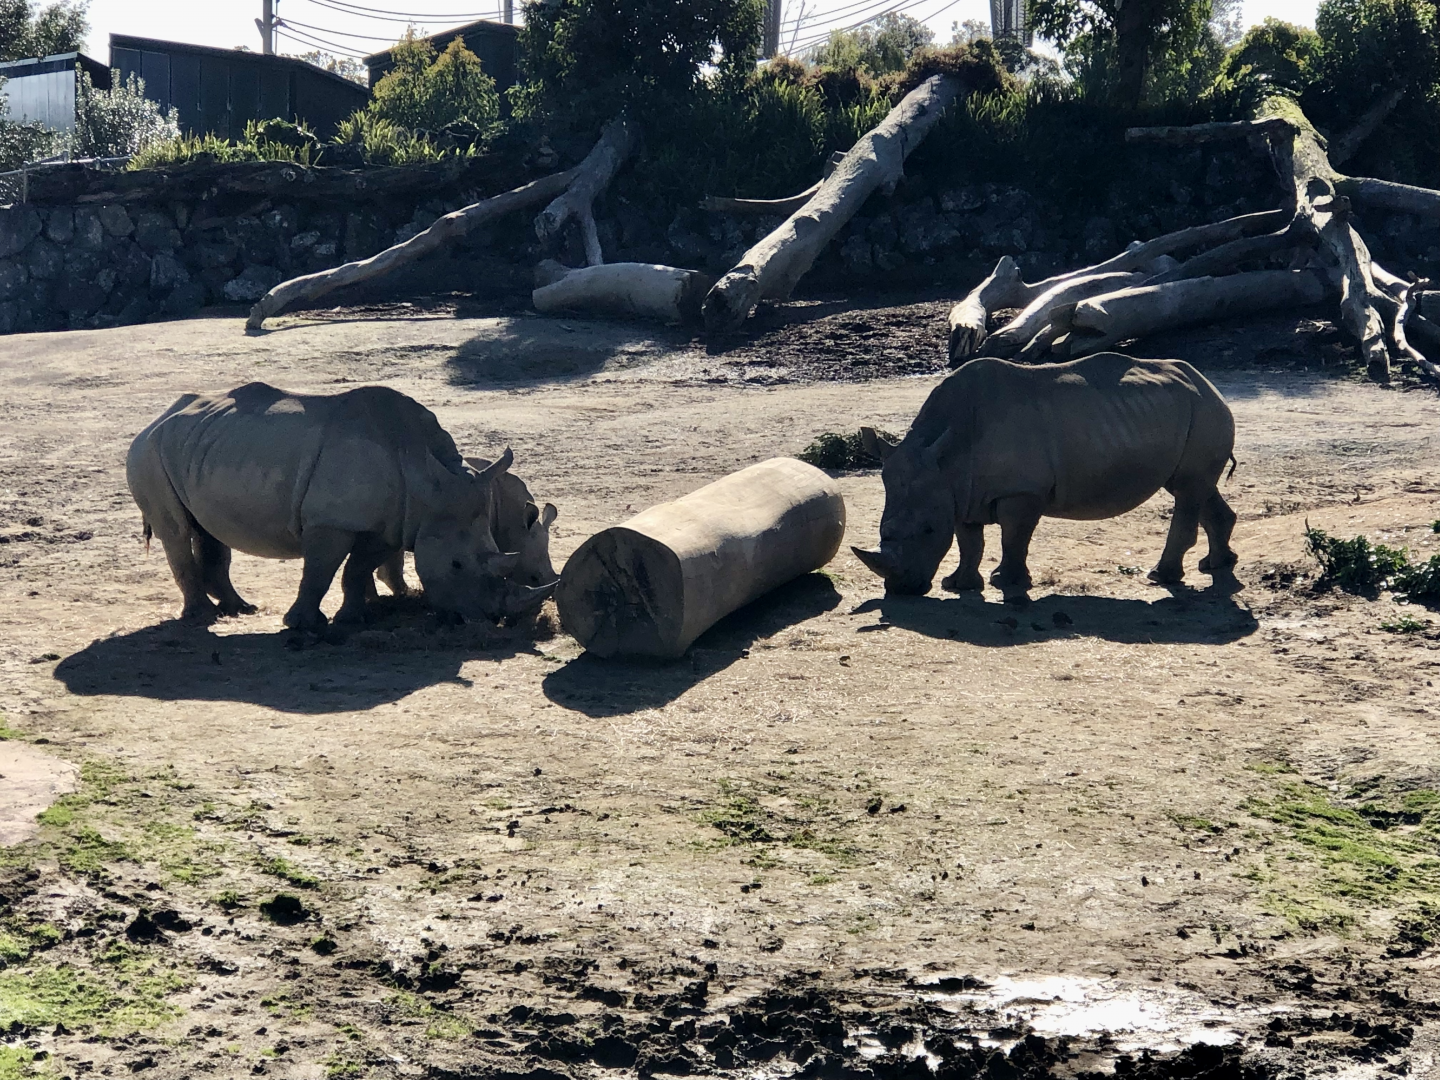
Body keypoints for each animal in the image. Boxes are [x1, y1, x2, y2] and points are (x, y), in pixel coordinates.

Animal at [852, 353, 1237, 603]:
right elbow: (969, 541)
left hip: (1204, 410)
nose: (902, 590)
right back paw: (1216, 565)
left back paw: (1160, 576)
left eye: (928, 531)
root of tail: (1210, 385)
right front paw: (959, 585)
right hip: (1182, 412)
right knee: (1197, 488)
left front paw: (1006, 582)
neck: (946, 457)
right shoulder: (959, 492)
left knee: (1187, 490)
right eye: (882, 531)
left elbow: (1013, 538)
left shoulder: (1020, 492)